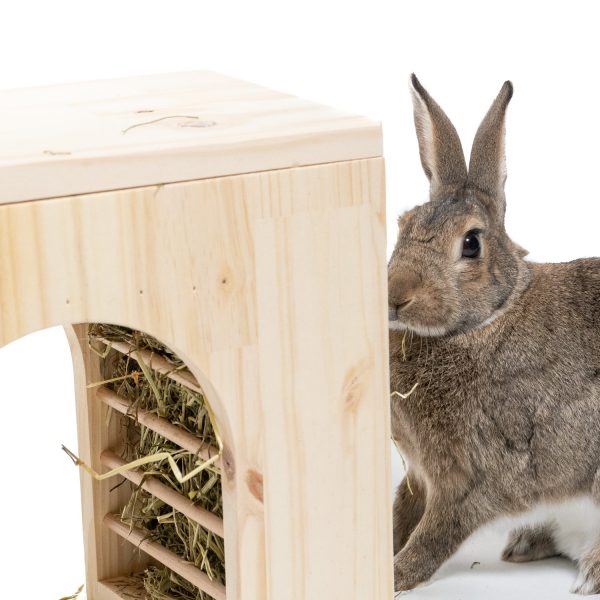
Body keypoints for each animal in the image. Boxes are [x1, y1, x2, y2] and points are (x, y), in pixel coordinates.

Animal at [390, 76, 600, 596]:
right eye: (403, 224)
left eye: (471, 243)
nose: (396, 294)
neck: (484, 323)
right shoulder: (417, 474)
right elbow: (401, 514)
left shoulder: (468, 480)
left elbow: (433, 535)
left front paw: (396, 574)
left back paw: (590, 571)